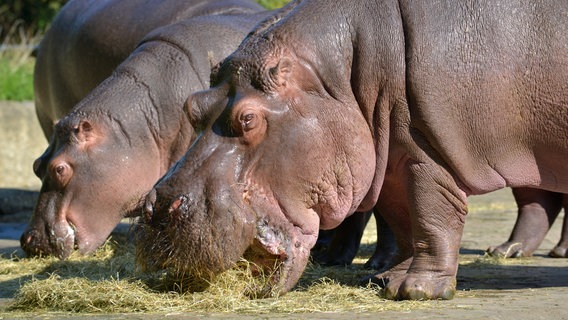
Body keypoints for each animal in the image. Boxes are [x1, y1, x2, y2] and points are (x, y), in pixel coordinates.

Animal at [136, 0, 568, 300]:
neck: (341, 80)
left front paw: (416, 290)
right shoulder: (393, 160)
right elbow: (404, 219)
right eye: (193, 105)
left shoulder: (426, 154)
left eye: (248, 119)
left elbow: (433, 215)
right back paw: (508, 252)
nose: (158, 208)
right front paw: (383, 279)